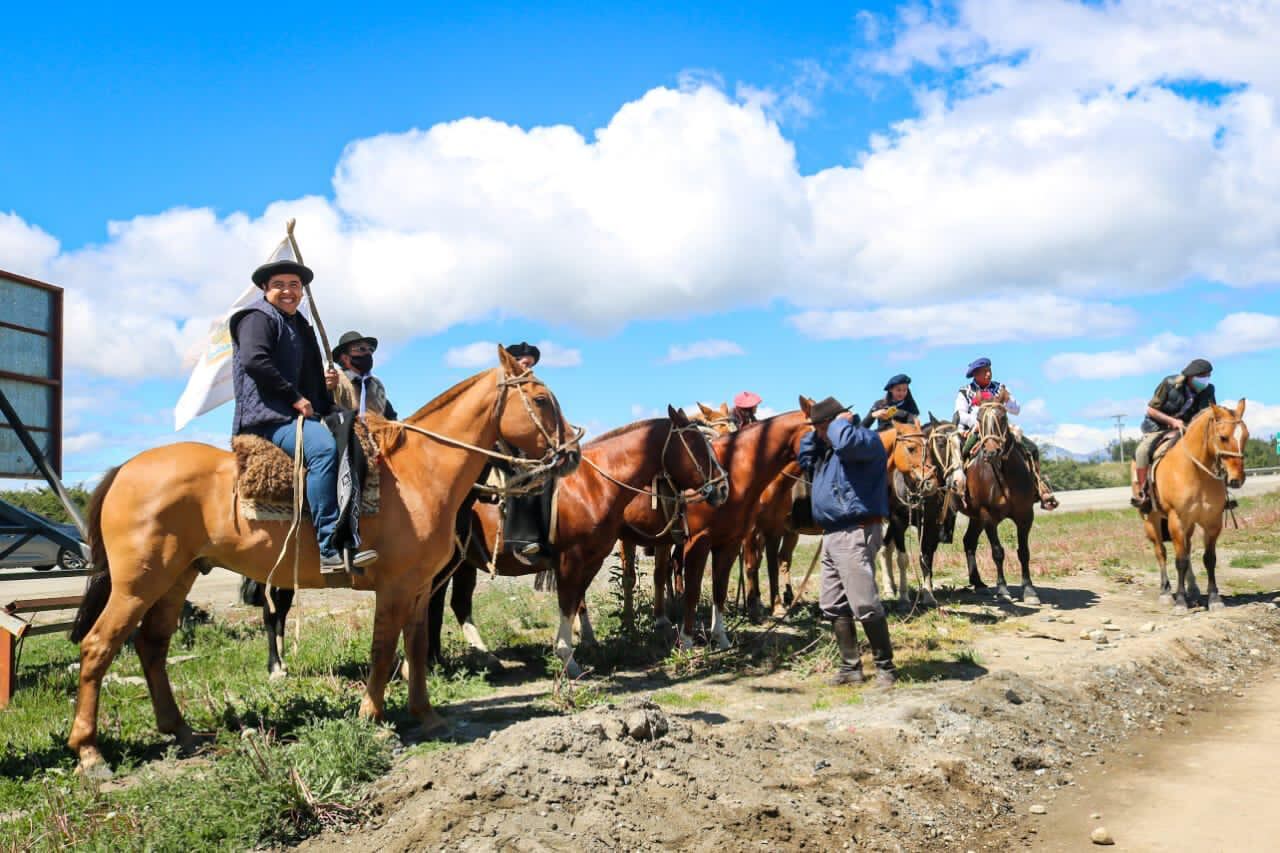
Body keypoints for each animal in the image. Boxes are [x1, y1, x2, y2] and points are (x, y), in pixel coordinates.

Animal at [64, 348, 576, 773]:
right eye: (542, 399)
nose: (571, 453)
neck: (419, 472)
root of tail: (125, 470)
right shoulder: (394, 588)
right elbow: (382, 649)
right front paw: (373, 717)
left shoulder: (417, 588)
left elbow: (414, 649)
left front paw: (426, 716)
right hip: (138, 583)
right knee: (99, 646)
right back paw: (89, 753)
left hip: (177, 578)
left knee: (152, 646)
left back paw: (182, 731)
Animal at [414, 404, 727, 671]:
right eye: (696, 445)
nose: (723, 487)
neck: (592, 485)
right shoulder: (570, 560)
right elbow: (567, 603)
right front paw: (567, 657)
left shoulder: (591, 560)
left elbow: (576, 600)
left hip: (463, 562)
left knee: (452, 603)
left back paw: (461, 659)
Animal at [957, 402, 1044, 601]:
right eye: (979, 419)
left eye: (1003, 418)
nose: (991, 451)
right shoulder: (987, 516)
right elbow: (997, 552)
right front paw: (1002, 589)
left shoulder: (1025, 515)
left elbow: (1024, 552)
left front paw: (1029, 589)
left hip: (975, 518)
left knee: (969, 541)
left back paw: (978, 583)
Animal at [1136, 399, 1244, 612]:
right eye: (1223, 437)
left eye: (1246, 436)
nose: (1237, 479)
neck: (1195, 471)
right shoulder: (1176, 520)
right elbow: (1179, 561)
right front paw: (1180, 601)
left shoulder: (1212, 521)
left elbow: (1209, 559)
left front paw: (1214, 598)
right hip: (1152, 520)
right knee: (1161, 552)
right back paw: (1166, 592)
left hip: (1190, 525)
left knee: (1186, 549)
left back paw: (1192, 589)